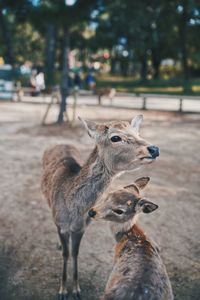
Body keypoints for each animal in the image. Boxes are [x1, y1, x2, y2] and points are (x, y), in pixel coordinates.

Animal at [40, 115, 159, 300]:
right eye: (115, 137)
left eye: (137, 133)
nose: (154, 149)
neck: (74, 212)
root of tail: (60, 142)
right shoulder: (61, 224)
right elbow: (66, 254)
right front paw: (62, 290)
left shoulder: (82, 227)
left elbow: (75, 253)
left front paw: (76, 289)